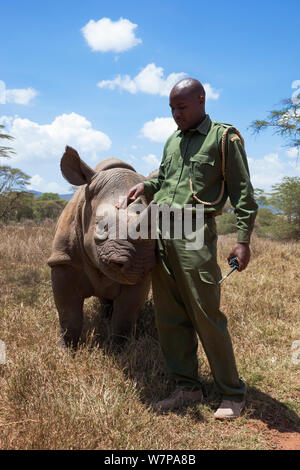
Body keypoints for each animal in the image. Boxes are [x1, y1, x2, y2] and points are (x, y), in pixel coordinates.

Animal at [47, 147, 157, 348]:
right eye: (101, 226)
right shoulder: (63, 260)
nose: (137, 266)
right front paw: (66, 349)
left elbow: (125, 315)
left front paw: (120, 349)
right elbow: (68, 313)